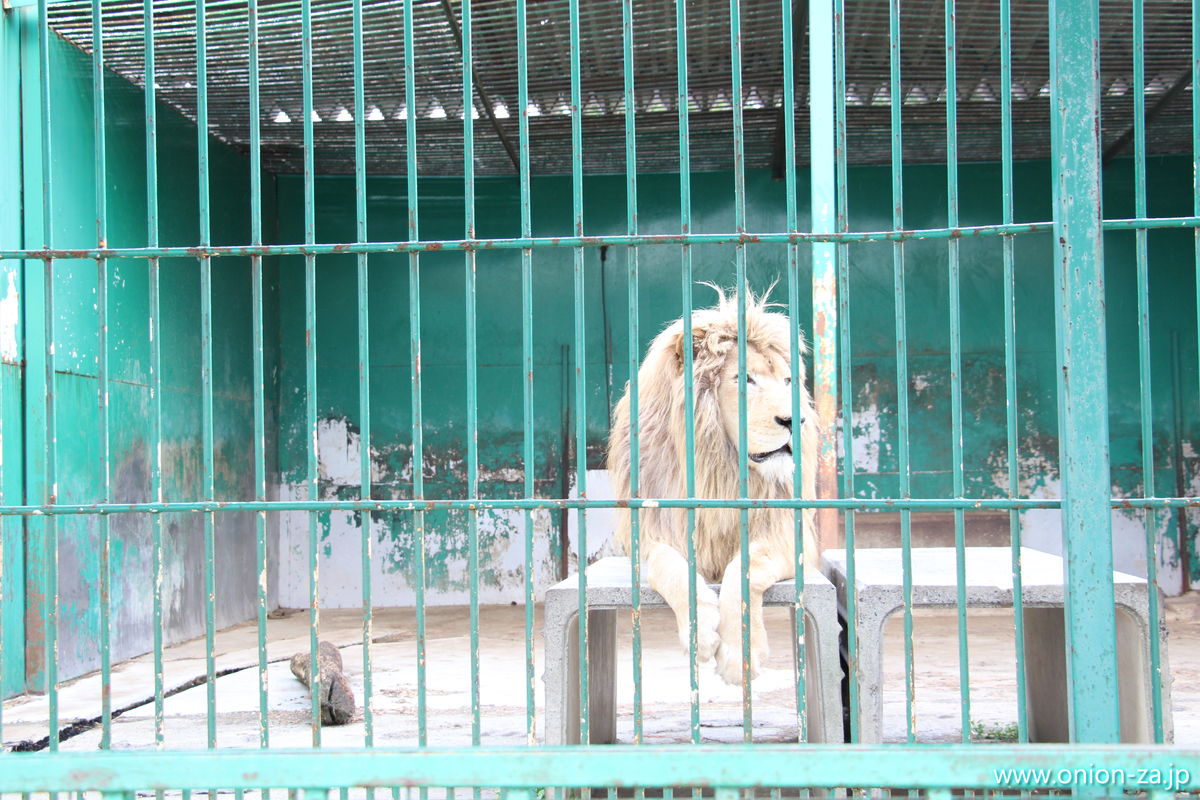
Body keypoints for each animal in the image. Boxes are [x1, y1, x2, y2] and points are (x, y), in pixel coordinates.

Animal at [604, 289, 820, 690]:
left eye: (787, 381)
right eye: (745, 379)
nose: (794, 420)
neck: (719, 467)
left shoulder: (788, 536)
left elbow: (746, 568)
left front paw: (739, 655)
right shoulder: (652, 533)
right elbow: (671, 567)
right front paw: (700, 631)